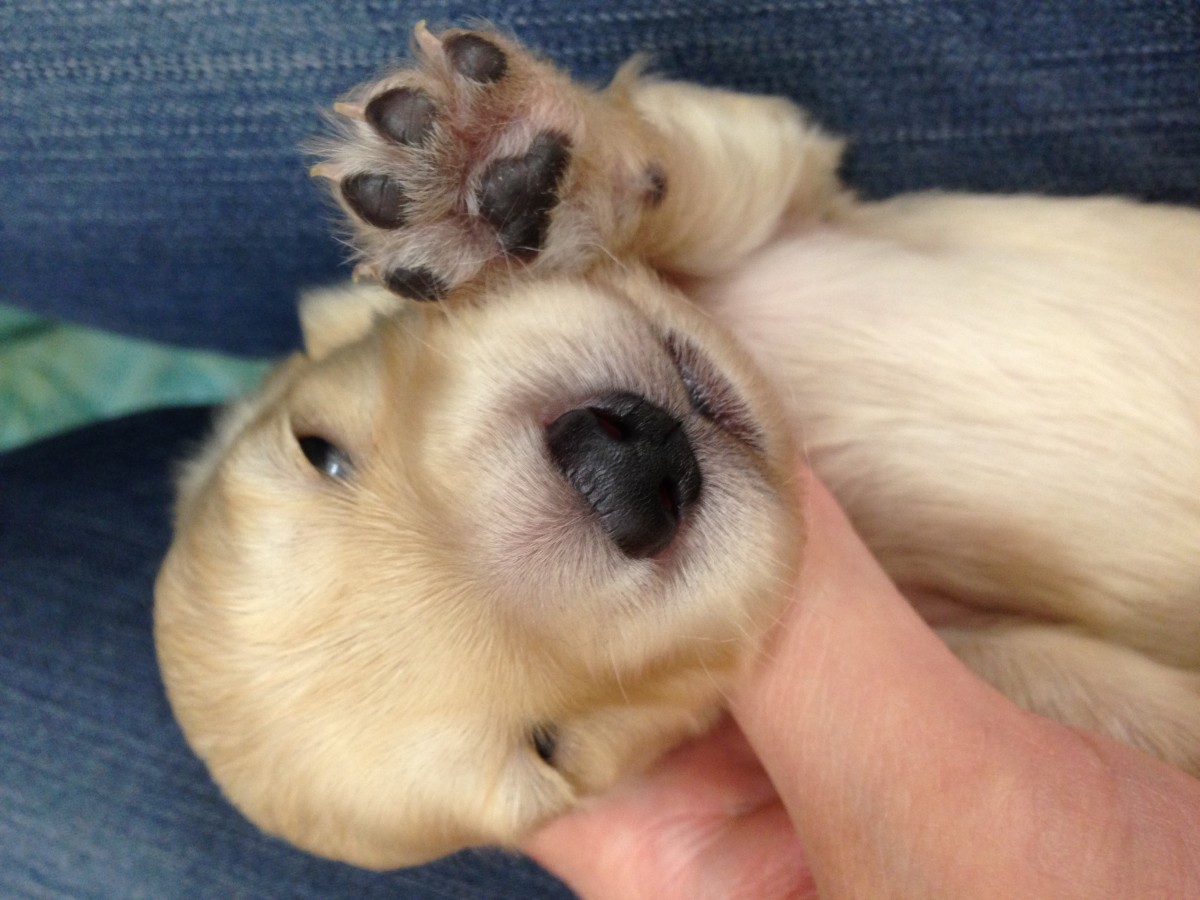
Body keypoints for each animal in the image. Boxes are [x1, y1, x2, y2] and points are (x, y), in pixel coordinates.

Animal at [155, 24, 1200, 869]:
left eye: (320, 449)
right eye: (550, 748)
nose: (626, 475)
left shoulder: (788, 179)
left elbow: (697, 168)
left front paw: (506, 165)